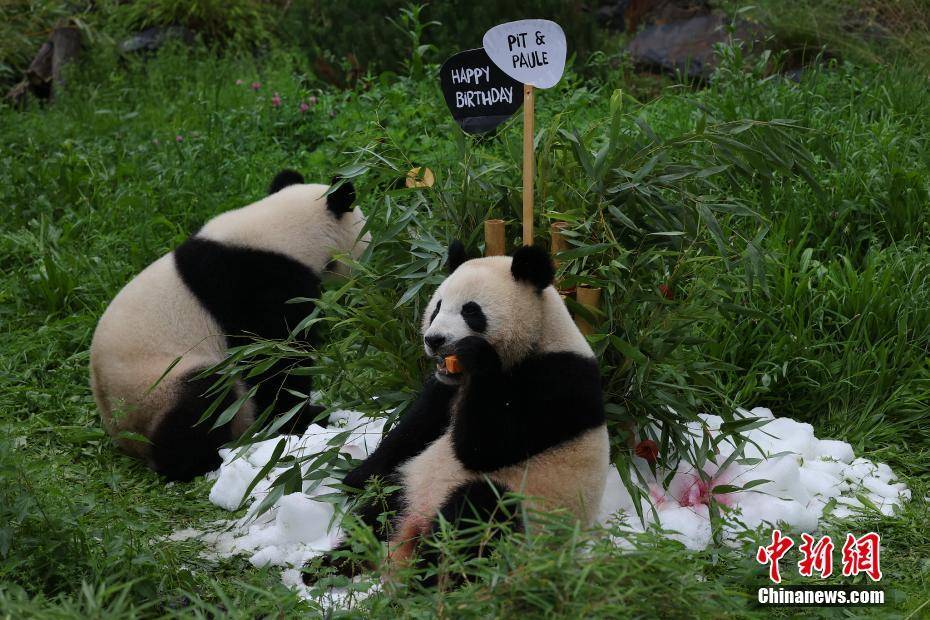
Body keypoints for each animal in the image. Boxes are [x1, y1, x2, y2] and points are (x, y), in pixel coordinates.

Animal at [90, 172, 370, 482]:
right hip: (156, 386)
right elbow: (274, 358)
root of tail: (125, 435)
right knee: (202, 401)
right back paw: (203, 460)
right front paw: (302, 417)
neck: (282, 233)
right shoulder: (256, 286)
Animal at [308, 243, 604, 588]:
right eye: (437, 307)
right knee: (379, 513)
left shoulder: (558, 383)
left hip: (530, 509)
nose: (434, 340)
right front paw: (356, 477)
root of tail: (415, 528)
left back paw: (423, 582)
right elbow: (414, 429)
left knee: (478, 516)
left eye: (471, 311)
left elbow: (484, 446)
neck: (538, 338)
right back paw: (325, 567)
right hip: (412, 481)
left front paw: (476, 355)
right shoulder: (445, 390)